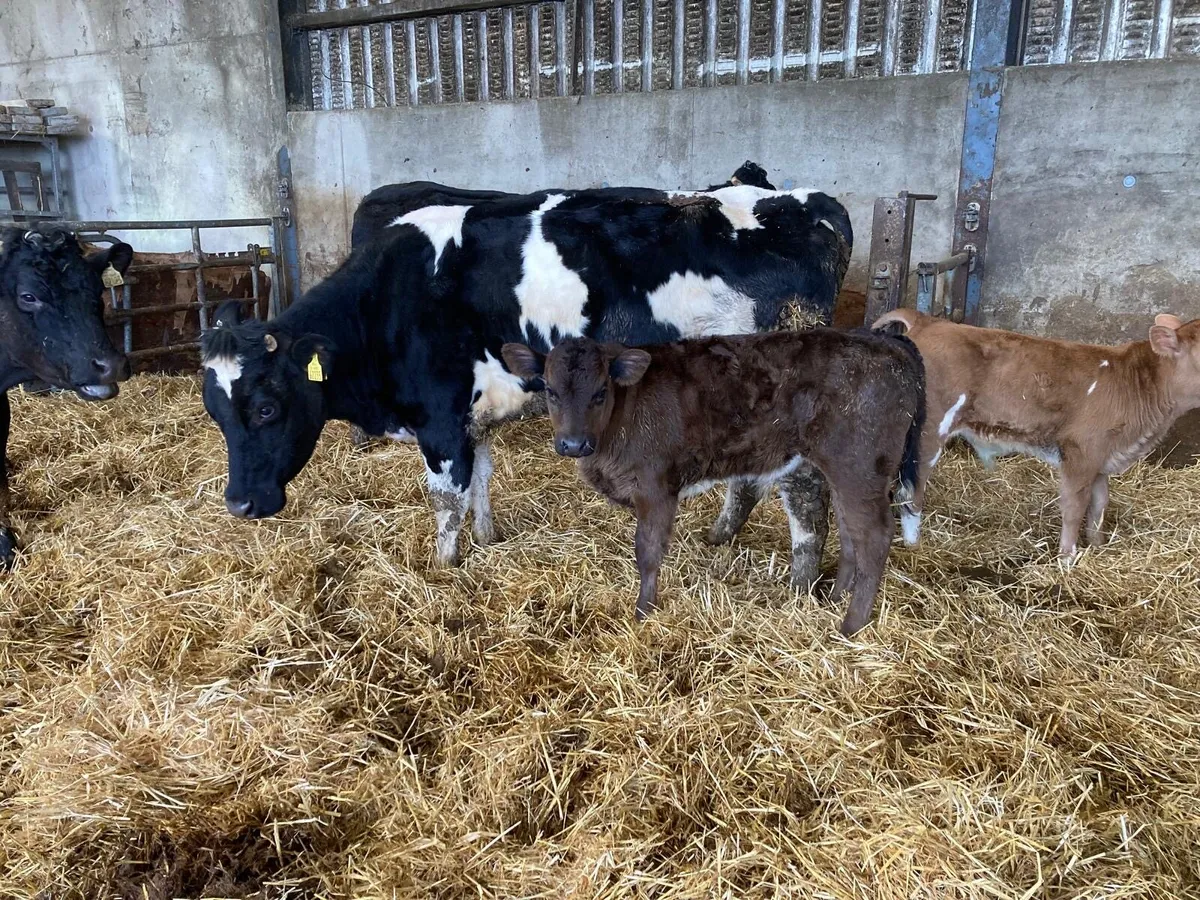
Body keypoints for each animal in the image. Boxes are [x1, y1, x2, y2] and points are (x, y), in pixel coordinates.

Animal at [201, 184, 853, 584]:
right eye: (216, 412)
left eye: (266, 407)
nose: (239, 504)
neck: (391, 301)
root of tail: (805, 202)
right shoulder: (473, 414)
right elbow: (482, 479)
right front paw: (487, 539)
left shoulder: (440, 420)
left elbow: (447, 501)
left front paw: (445, 569)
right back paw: (722, 537)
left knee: (805, 489)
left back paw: (799, 582)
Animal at [499, 329, 925, 635]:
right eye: (550, 390)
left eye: (602, 391)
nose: (573, 444)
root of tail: (886, 342)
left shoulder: (656, 487)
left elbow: (647, 552)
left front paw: (643, 612)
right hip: (843, 472)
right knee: (851, 535)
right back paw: (836, 599)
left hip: (861, 468)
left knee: (874, 537)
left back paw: (850, 626)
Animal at [872, 309, 1200, 558]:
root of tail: (929, 320)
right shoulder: (1080, 452)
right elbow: (1074, 507)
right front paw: (1067, 559)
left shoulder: (1102, 458)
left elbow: (1099, 506)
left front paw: (1097, 546)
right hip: (929, 431)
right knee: (910, 491)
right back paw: (915, 544)